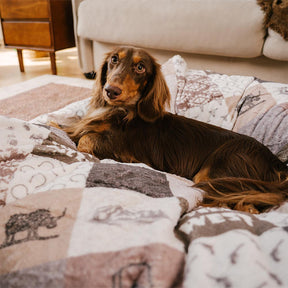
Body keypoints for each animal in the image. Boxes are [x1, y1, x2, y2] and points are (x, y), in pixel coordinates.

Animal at [63, 46, 288, 213]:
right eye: (114, 60)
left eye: (140, 67)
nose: (110, 91)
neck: (121, 112)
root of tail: (276, 163)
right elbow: (68, 127)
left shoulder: (127, 151)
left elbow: (85, 140)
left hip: (219, 169)